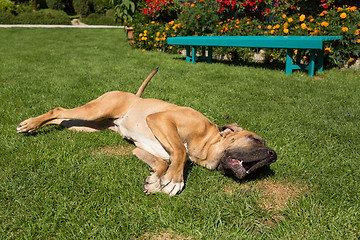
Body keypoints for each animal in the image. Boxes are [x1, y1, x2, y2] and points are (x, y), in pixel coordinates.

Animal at [15, 68, 278, 196]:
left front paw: (155, 181)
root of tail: (134, 96)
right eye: (255, 139)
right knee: (59, 110)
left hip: (85, 125)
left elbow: (162, 162)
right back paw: (29, 125)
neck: (206, 142)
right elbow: (179, 152)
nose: (274, 154)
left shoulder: (142, 150)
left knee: (61, 118)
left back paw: (35, 125)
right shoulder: (161, 119)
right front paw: (174, 180)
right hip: (96, 110)